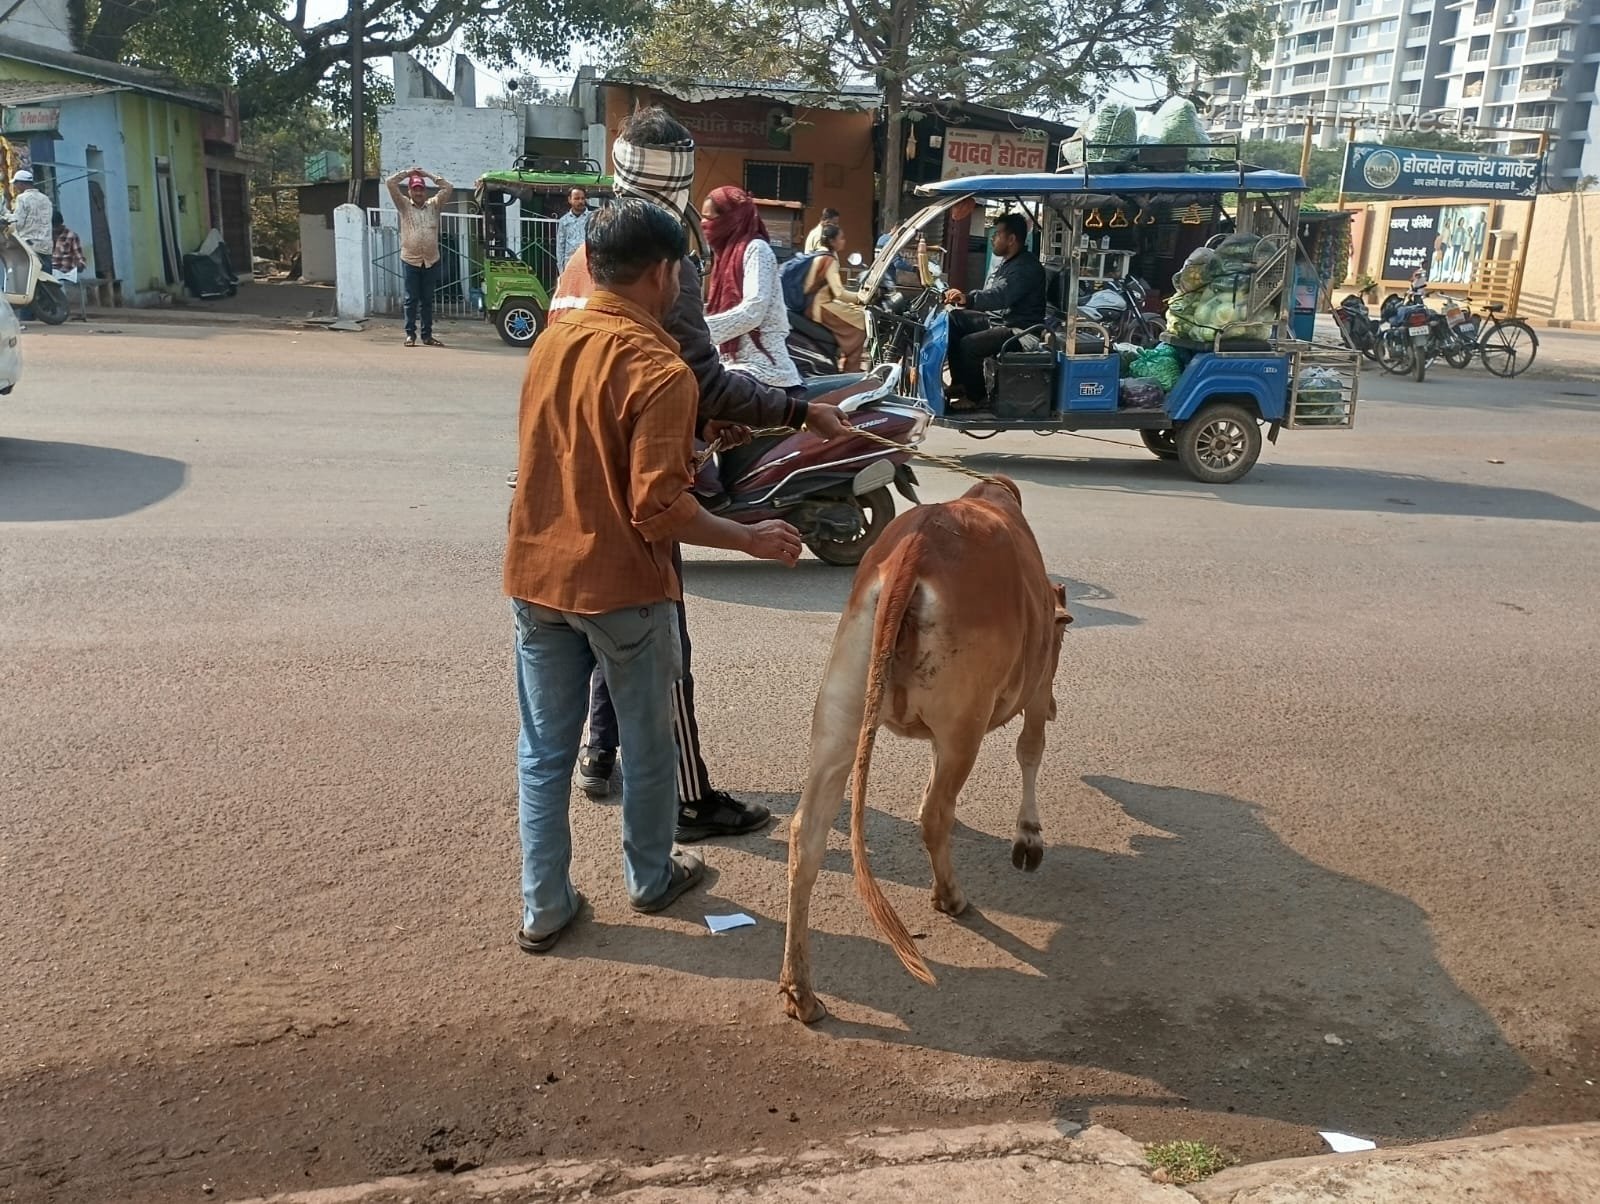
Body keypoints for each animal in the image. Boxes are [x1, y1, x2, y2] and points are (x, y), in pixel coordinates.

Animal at [779, 476, 1072, 1023]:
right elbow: (1030, 750)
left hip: (841, 711)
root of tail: (914, 549)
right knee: (935, 813)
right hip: (964, 723)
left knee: (807, 834)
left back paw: (800, 992)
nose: (1058, 707)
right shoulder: (1038, 685)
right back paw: (950, 896)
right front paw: (1029, 838)